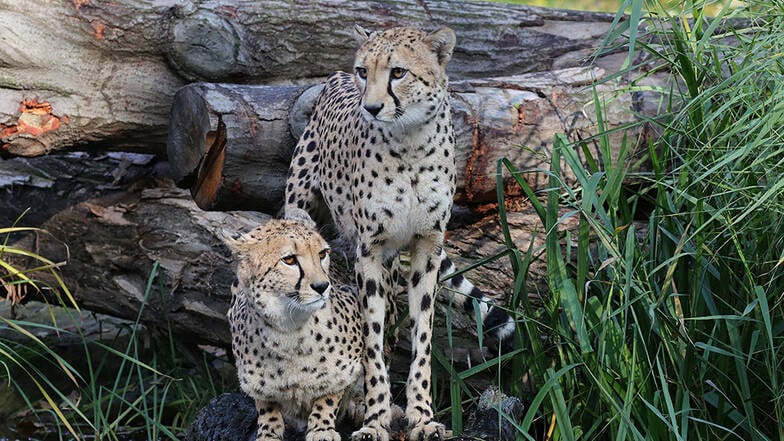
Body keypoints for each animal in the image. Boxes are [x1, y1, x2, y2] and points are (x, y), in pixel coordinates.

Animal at [284, 25, 516, 438]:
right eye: (364, 71)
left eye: (398, 73)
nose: (372, 107)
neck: (410, 143)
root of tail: (333, 78)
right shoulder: (370, 250)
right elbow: (371, 340)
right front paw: (374, 419)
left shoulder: (427, 245)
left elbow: (420, 336)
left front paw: (421, 415)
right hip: (302, 205)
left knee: (393, 322)